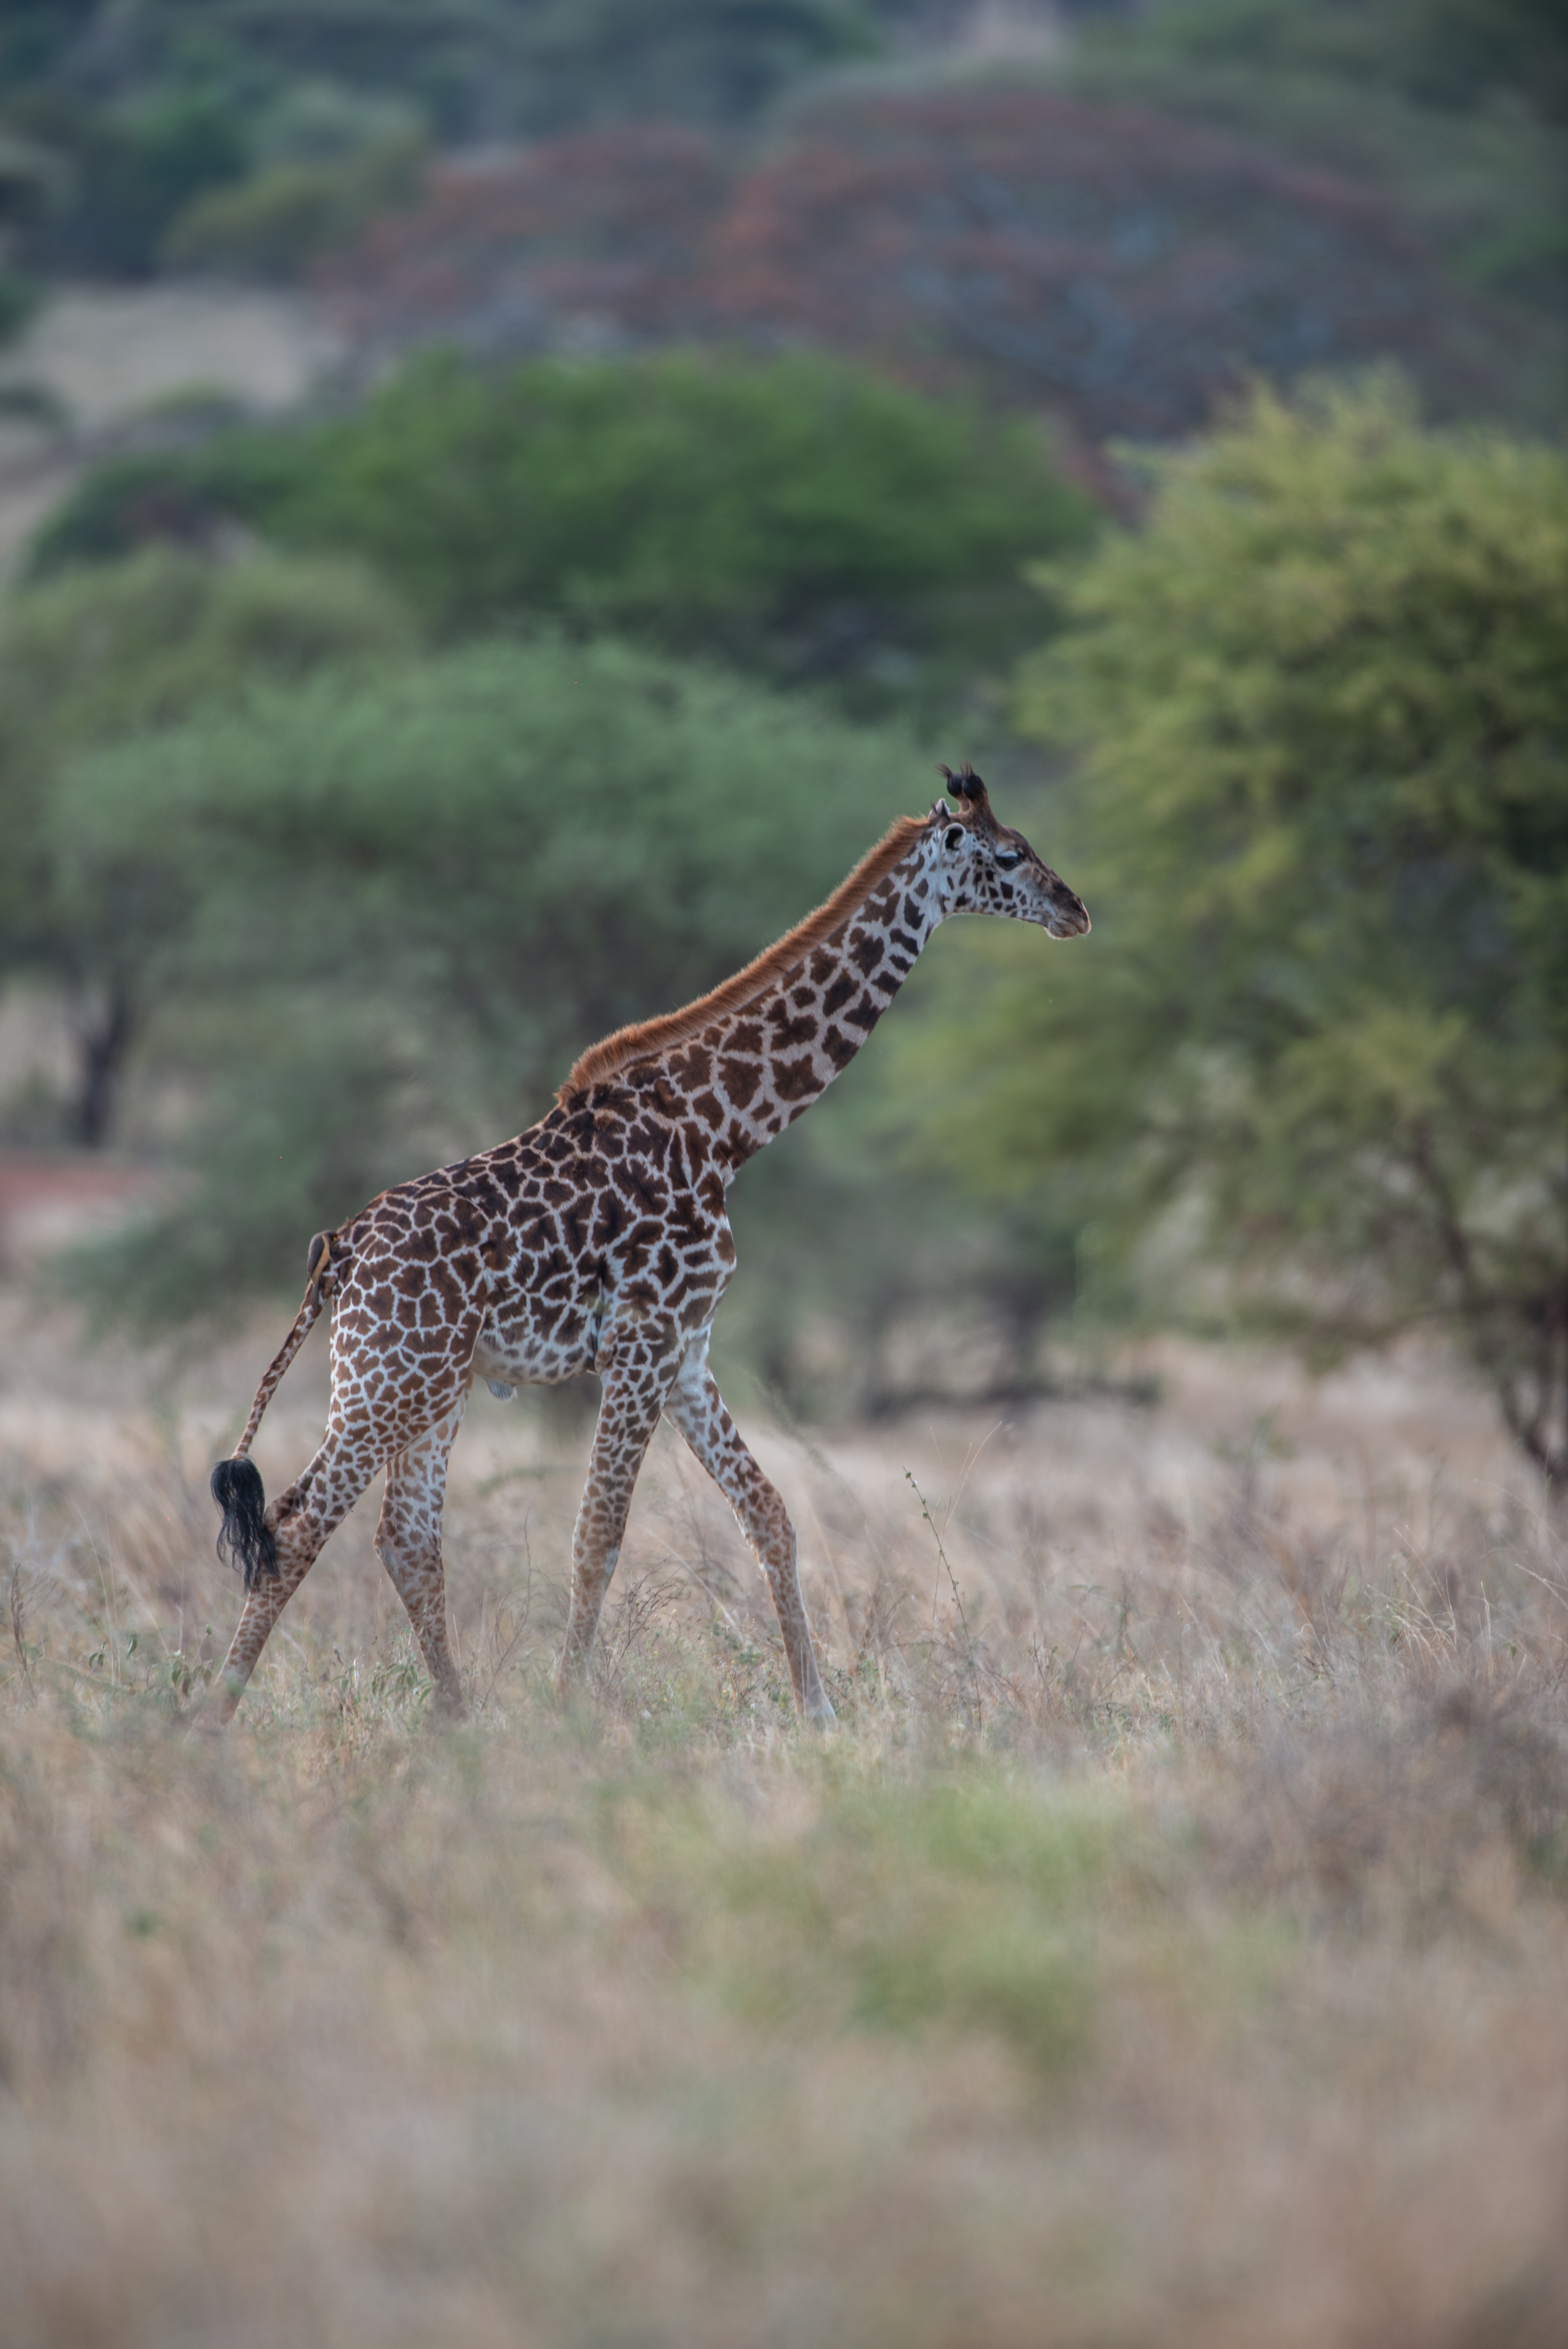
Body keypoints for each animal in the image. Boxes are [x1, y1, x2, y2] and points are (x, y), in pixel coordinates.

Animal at [205, 766, 1089, 1729]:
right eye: (1012, 854)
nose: (1077, 908)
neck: (723, 1129)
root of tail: (343, 1247)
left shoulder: (688, 1344)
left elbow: (768, 1513)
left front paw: (819, 1711)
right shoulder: (643, 1337)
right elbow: (599, 1531)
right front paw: (569, 1710)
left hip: (429, 1383)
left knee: (402, 1535)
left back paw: (459, 1721)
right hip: (389, 1377)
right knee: (298, 1523)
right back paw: (210, 1719)